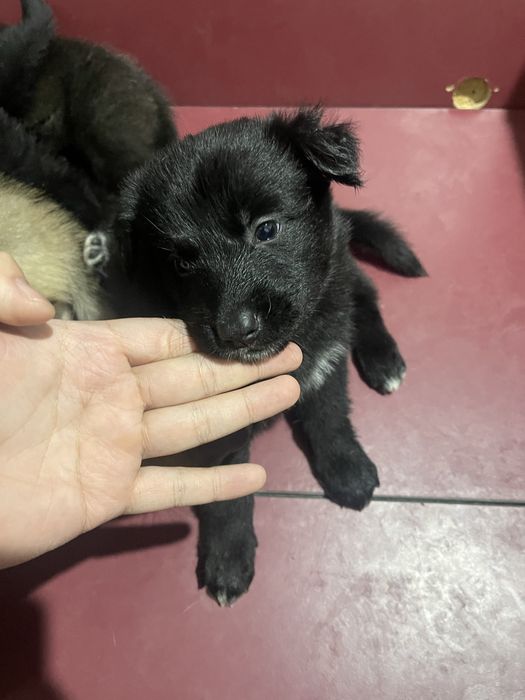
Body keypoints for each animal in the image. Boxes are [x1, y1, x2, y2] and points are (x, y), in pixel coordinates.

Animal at [115, 106, 426, 605]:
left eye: (267, 229)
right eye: (182, 263)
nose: (235, 330)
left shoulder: (326, 357)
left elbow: (330, 419)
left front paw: (348, 470)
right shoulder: (221, 419)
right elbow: (228, 489)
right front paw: (228, 558)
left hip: (339, 270)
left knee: (364, 292)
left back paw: (383, 358)